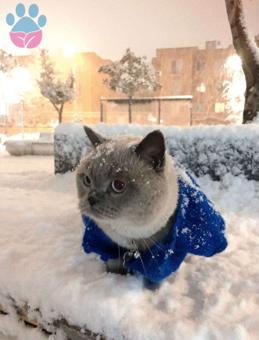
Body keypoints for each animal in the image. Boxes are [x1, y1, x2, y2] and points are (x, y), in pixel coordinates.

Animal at [76, 126, 228, 286]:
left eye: (118, 185)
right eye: (87, 180)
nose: (91, 199)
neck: (132, 238)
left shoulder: (163, 256)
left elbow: (156, 275)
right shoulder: (105, 245)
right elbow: (112, 264)